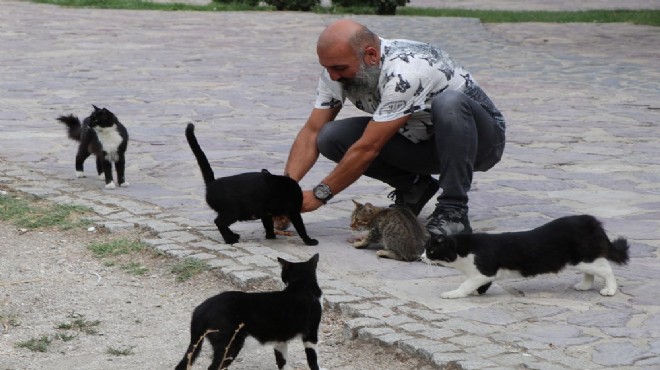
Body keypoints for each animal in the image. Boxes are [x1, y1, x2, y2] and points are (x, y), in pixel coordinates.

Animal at [174, 253, 320, 370]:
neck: (301, 287)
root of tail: (201, 308)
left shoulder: (280, 340)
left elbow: (281, 361)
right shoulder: (311, 335)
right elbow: (312, 360)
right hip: (230, 346)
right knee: (214, 367)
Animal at [184, 123, 318, 247]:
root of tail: (212, 183)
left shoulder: (266, 213)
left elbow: (268, 225)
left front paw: (271, 236)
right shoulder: (293, 210)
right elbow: (301, 228)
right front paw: (309, 241)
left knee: (220, 222)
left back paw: (234, 235)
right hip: (233, 211)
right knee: (219, 222)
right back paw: (230, 240)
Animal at [422, 215, 628, 300]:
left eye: (430, 250)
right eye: (425, 249)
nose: (422, 256)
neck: (465, 249)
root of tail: (590, 220)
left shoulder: (484, 270)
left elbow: (466, 284)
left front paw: (453, 293)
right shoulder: (484, 274)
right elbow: (478, 284)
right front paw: (477, 292)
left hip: (583, 258)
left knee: (606, 269)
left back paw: (610, 290)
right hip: (582, 259)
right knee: (594, 270)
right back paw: (584, 286)